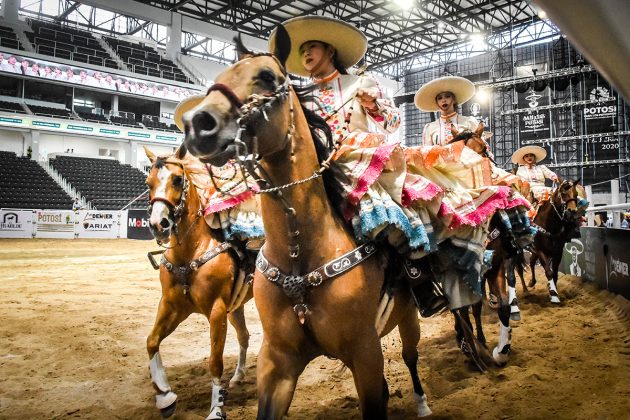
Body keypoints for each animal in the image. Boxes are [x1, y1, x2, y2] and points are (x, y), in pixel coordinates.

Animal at [144, 147, 253, 416]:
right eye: (148, 183)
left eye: (177, 180)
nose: (158, 224)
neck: (191, 252)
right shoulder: (172, 305)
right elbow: (152, 341)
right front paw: (164, 396)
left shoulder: (217, 310)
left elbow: (215, 362)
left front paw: (216, 410)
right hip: (236, 307)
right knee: (244, 336)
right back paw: (238, 377)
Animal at [178, 27, 434, 418]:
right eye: (219, 76)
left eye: (267, 77)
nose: (198, 124)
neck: (300, 254)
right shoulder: (277, 363)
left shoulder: (366, 355)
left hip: (409, 319)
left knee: (411, 355)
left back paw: (423, 402)